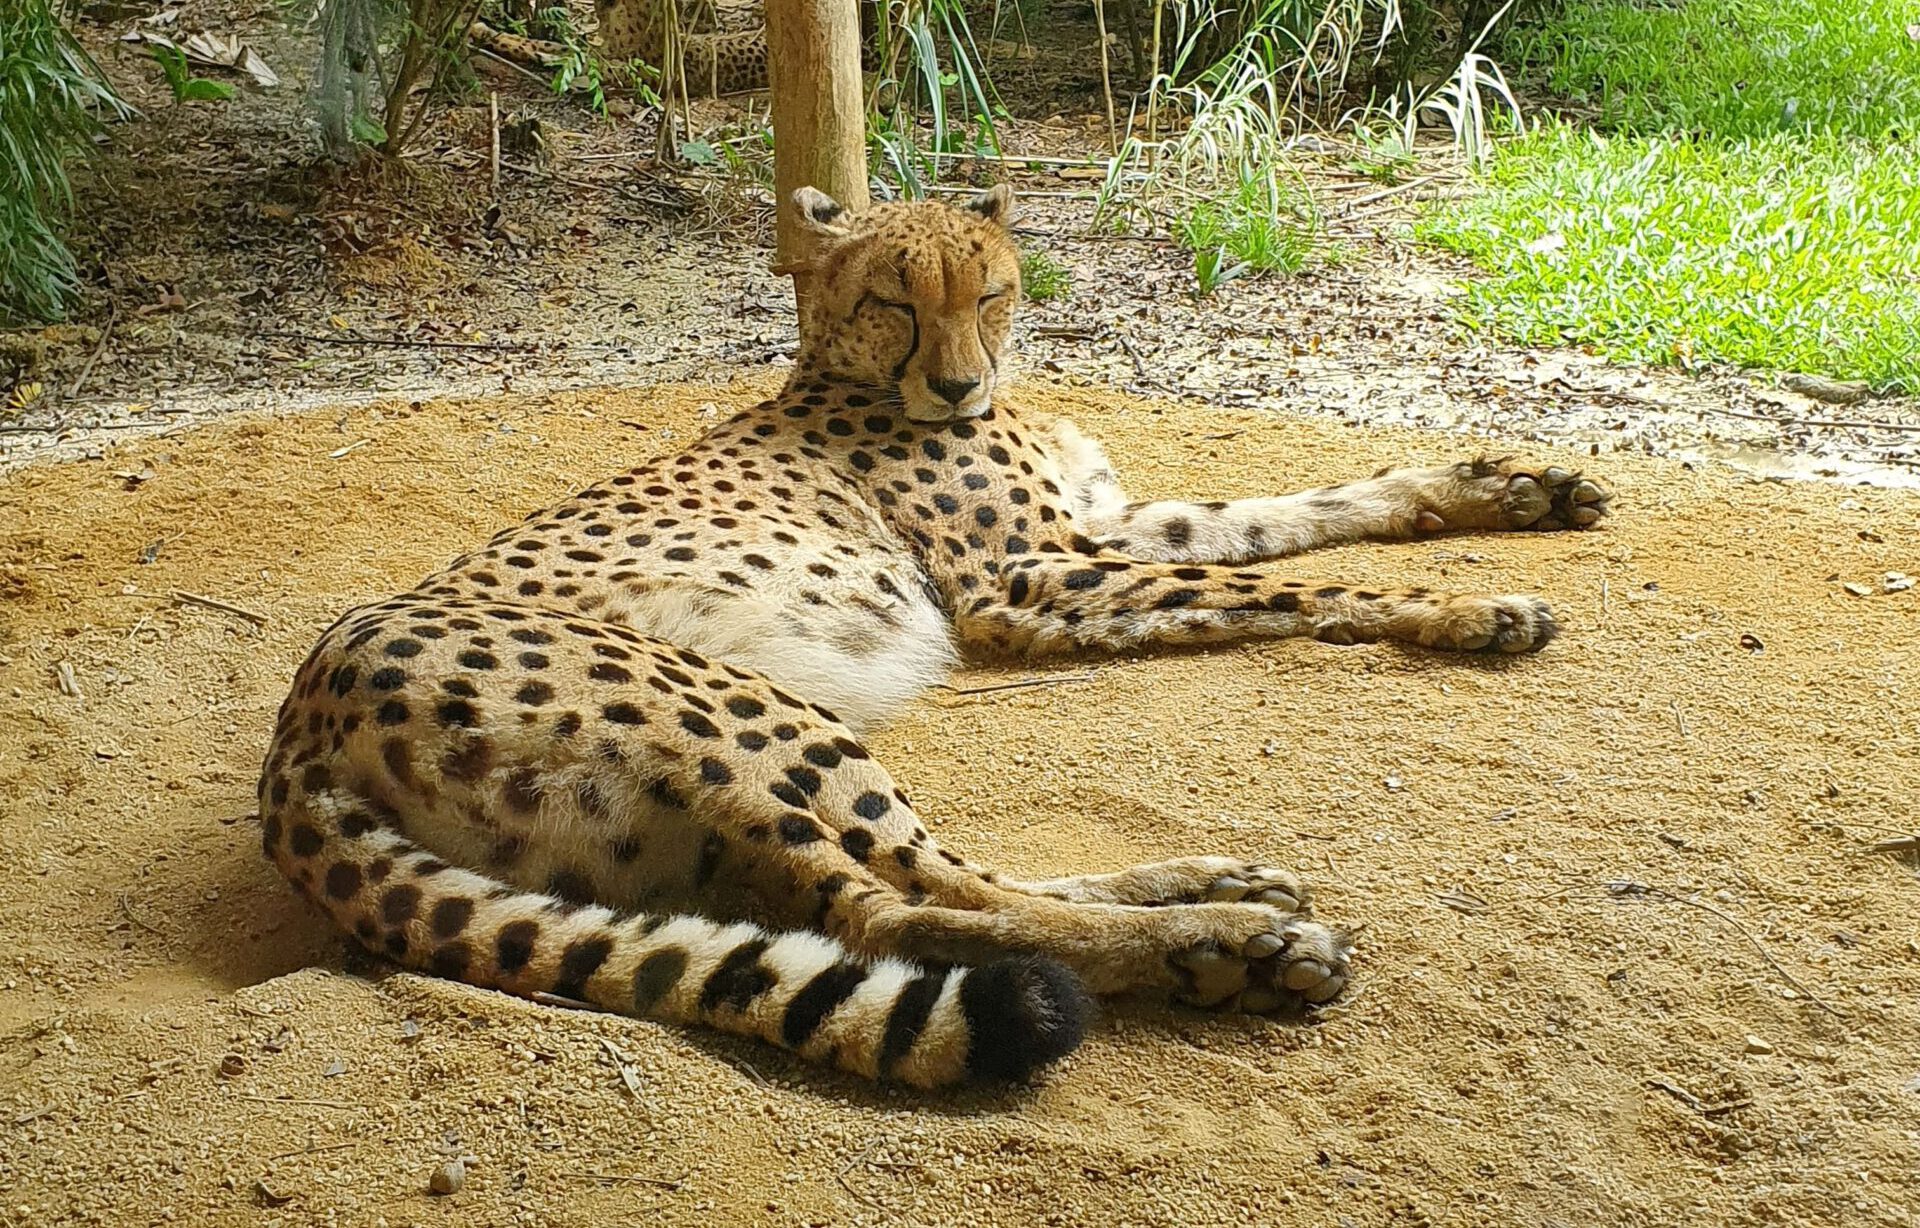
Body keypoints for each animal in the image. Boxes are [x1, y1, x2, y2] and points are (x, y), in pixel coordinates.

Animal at [255, 182, 1605, 1082]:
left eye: (991, 290)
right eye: (894, 301)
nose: (960, 384)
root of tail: (293, 748)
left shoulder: (1096, 527)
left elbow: (1299, 511)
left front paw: (1511, 490)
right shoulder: (1025, 580)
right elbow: (1294, 588)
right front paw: (1469, 608)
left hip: (655, 827)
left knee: (924, 882)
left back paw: (1212, 888)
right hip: (744, 711)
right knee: (897, 910)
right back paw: (1231, 944)